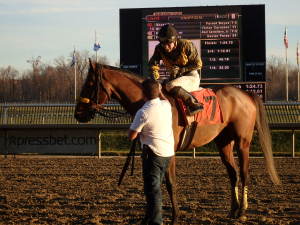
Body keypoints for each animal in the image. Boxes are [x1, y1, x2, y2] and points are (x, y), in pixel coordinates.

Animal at [74, 60, 280, 224]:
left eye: (89, 83)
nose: (78, 114)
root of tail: (246, 94)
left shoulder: (168, 151)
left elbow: (170, 183)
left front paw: (175, 217)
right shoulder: (147, 150)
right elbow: (150, 184)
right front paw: (147, 217)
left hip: (242, 141)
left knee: (244, 173)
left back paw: (243, 211)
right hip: (223, 142)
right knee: (233, 174)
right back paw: (233, 210)